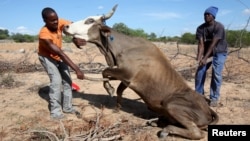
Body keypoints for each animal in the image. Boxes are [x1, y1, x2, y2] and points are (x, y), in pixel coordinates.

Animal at [63, 4, 218, 140]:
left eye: (90, 20)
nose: (66, 26)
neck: (118, 49)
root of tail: (208, 109)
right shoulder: (125, 78)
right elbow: (117, 87)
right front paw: (117, 106)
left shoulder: (126, 73)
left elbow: (105, 71)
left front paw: (109, 89)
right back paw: (157, 122)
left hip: (171, 105)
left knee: (196, 133)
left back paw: (165, 130)